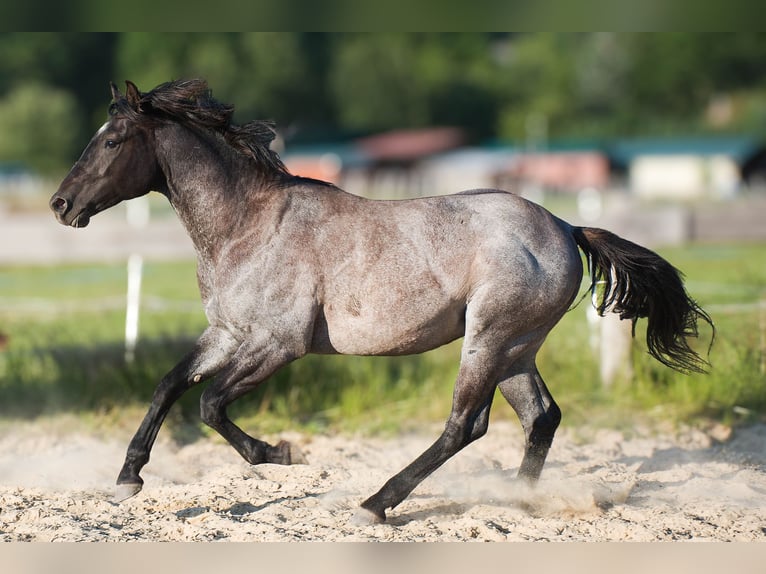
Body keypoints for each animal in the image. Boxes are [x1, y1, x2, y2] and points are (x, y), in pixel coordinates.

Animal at [51, 81, 716, 528]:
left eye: (113, 139)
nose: (61, 205)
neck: (249, 225)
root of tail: (564, 226)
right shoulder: (228, 333)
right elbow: (169, 385)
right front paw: (127, 480)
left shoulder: (279, 342)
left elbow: (210, 404)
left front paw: (280, 454)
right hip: (516, 349)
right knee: (541, 417)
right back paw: (518, 503)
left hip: (488, 340)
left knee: (466, 424)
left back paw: (375, 504)